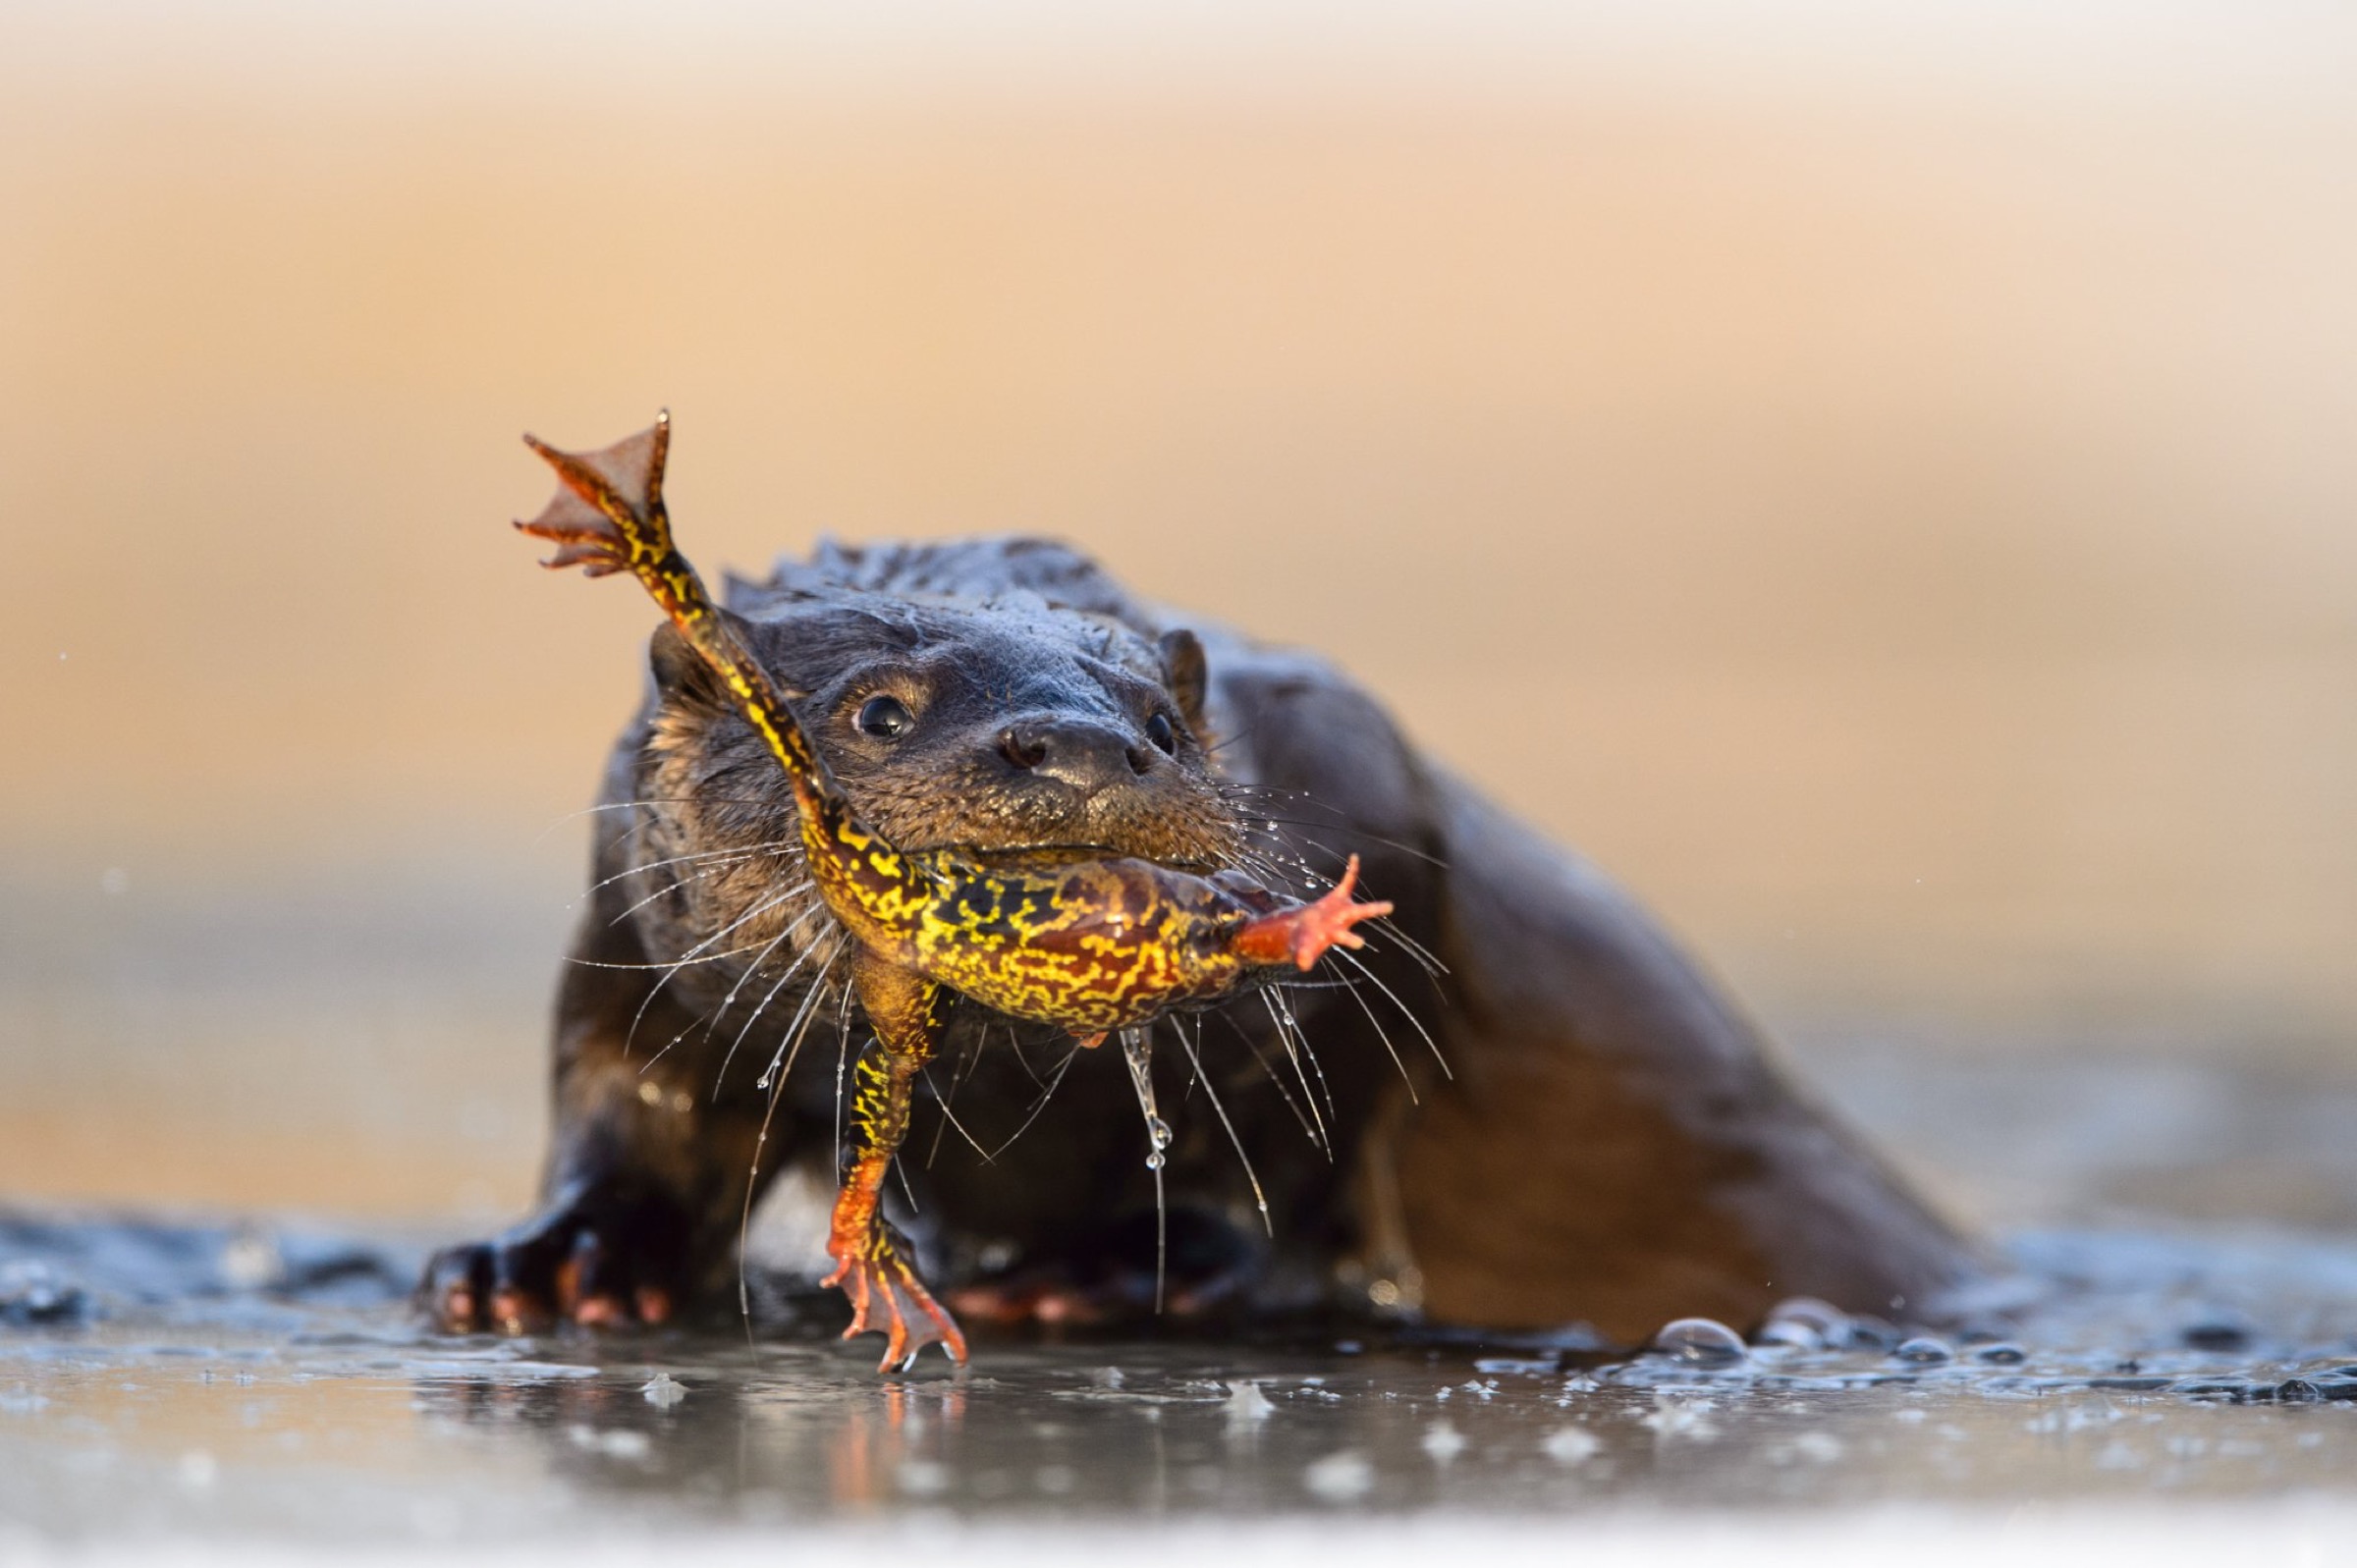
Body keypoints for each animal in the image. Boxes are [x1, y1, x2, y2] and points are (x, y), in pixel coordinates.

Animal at [425, 510, 1975, 1351]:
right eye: (878, 708)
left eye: (1163, 725)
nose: (1081, 751)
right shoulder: (634, 936)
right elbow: (632, 1106)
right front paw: (549, 1264)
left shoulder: (1370, 806)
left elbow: (1297, 1141)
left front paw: (1110, 1268)